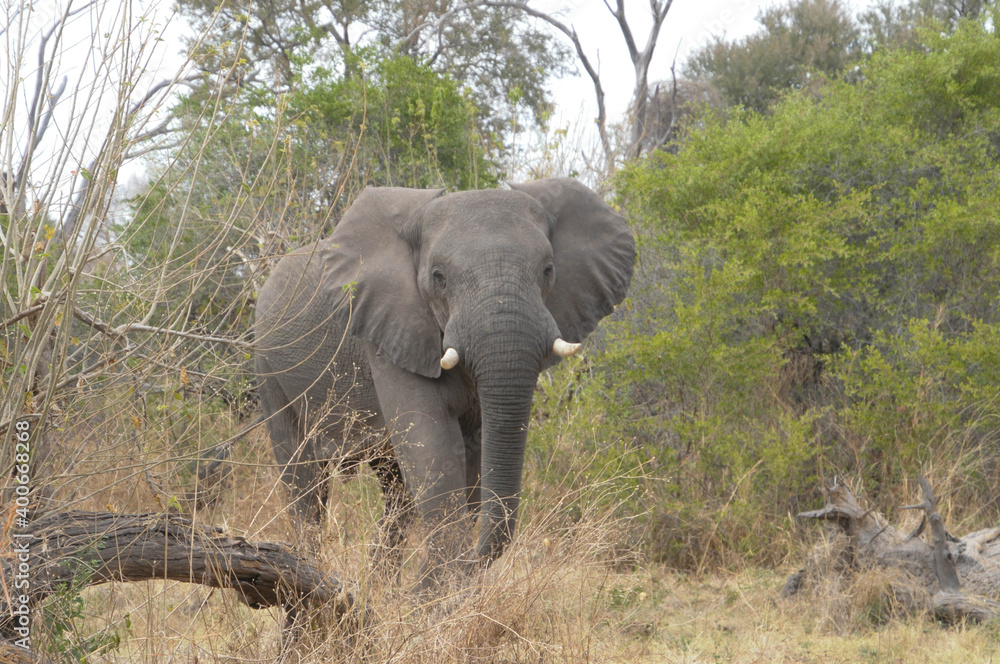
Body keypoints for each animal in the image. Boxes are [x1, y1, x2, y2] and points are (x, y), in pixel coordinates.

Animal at [253, 177, 634, 584]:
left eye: (548, 270)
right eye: (439, 277)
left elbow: (474, 454)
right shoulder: (389, 330)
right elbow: (433, 448)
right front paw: (439, 591)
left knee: (397, 492)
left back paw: (380, 585)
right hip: (267, 363)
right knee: (304, 483)